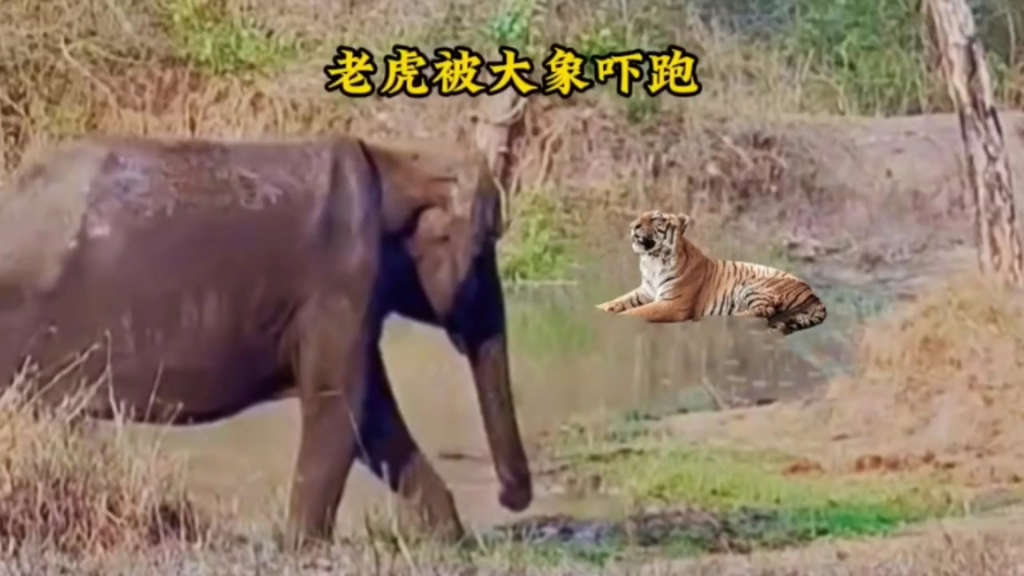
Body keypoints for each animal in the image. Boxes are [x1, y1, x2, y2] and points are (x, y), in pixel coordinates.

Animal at [0, 134, 532, 549]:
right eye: (486, 248)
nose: (511, 500)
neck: (399, 162)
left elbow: (373, 414)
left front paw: (450, 541)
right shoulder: (340, 279)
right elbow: (342, 401)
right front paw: (300, 547)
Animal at [594, 210, 827, 336]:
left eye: (657, 219)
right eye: (641, 217)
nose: (633, 226)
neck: (652, 260)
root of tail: (814, 294)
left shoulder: (673, 303)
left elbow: (636, 312)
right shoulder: (646, 291)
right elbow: (617, 302)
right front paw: (597, 309)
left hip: (753, 285)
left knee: (765, 310)